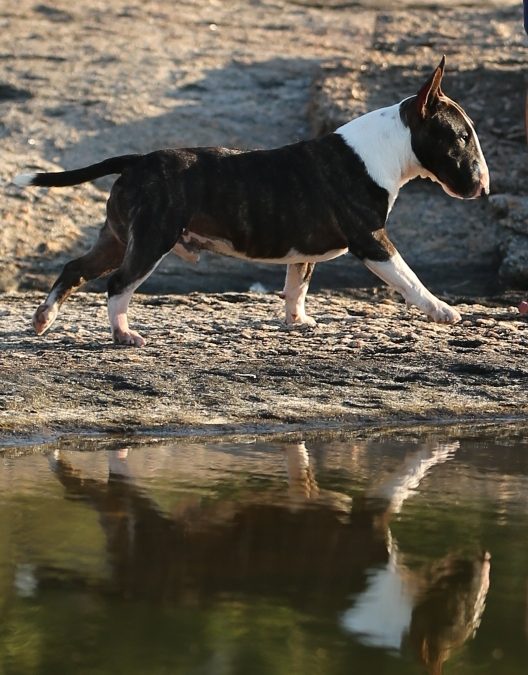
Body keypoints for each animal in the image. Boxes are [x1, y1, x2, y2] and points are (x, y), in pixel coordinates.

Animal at [12, 55, 488, 346]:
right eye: (461, 137)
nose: (484, 187)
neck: (388, 147)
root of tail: (138, 160)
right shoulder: (372, 241)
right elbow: (409, 278)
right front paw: (443, 310)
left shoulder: (305, 247)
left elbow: (297, 285)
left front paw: (298, 321)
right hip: (150, 240)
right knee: (117, 285)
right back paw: (123, 334)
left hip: (116, 237)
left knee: (75, 268)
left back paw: (42, 319)